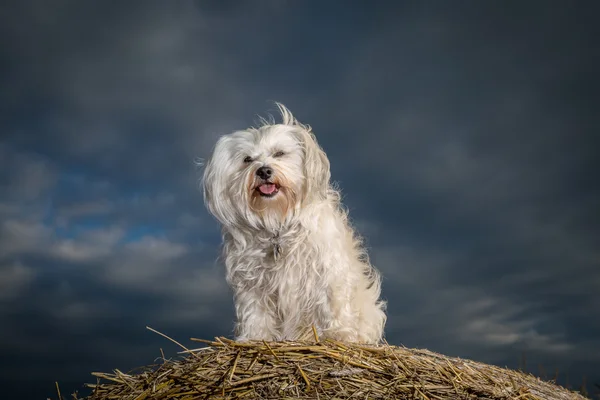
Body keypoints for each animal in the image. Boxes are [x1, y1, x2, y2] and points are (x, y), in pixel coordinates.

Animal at [204, 103, 386, 344]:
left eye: (279, 153)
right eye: (247, 160)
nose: (263, 171)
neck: (277, 222)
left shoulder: (328, 271)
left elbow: (334, 305)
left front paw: (338, 335)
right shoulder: (252, 282)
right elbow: (255, 312)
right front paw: (254, 337)